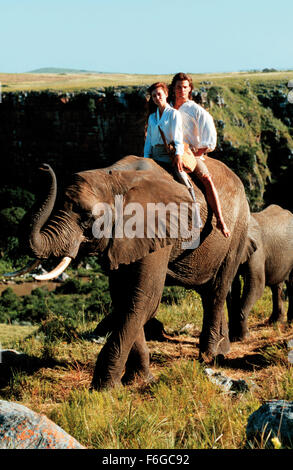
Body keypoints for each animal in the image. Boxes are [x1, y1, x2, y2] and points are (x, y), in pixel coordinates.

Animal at [10, 155, 254, 390]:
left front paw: (104, 389)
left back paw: (209, 357)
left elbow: (144, 300)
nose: (42, 167)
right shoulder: (123, 239)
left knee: (216, 291)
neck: (113, 177)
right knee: (210, 292)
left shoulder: (155, 230)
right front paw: (140, 380)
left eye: (88, 218)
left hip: (236, 232)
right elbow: (124, 299)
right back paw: (222, 351)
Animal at [228, 204, 292, 340]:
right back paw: (274, 322)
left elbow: (256, 286)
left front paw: (243, 337)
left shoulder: (257, 252)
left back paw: (289, 323)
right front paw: (233, 337)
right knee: (277, 286)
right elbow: (234, 287)